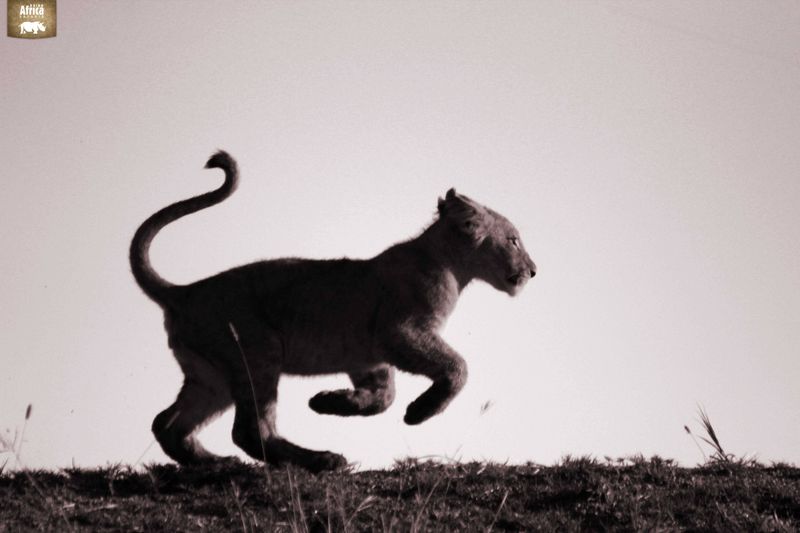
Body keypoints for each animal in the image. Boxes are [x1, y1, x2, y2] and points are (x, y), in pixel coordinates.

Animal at [130, 151, 536, 472]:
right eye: (514, 240)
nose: (534, 271)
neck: (452, 265)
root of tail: (183, 292)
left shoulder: (369, 357)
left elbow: (383, 398)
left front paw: (328, 402)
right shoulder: (401, 331)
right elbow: (457, 367)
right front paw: (419, 412)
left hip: (211, 376)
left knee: (167, 423)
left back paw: (213, 463)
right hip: (256, 352)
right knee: (250, 430)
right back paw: (322, 460)